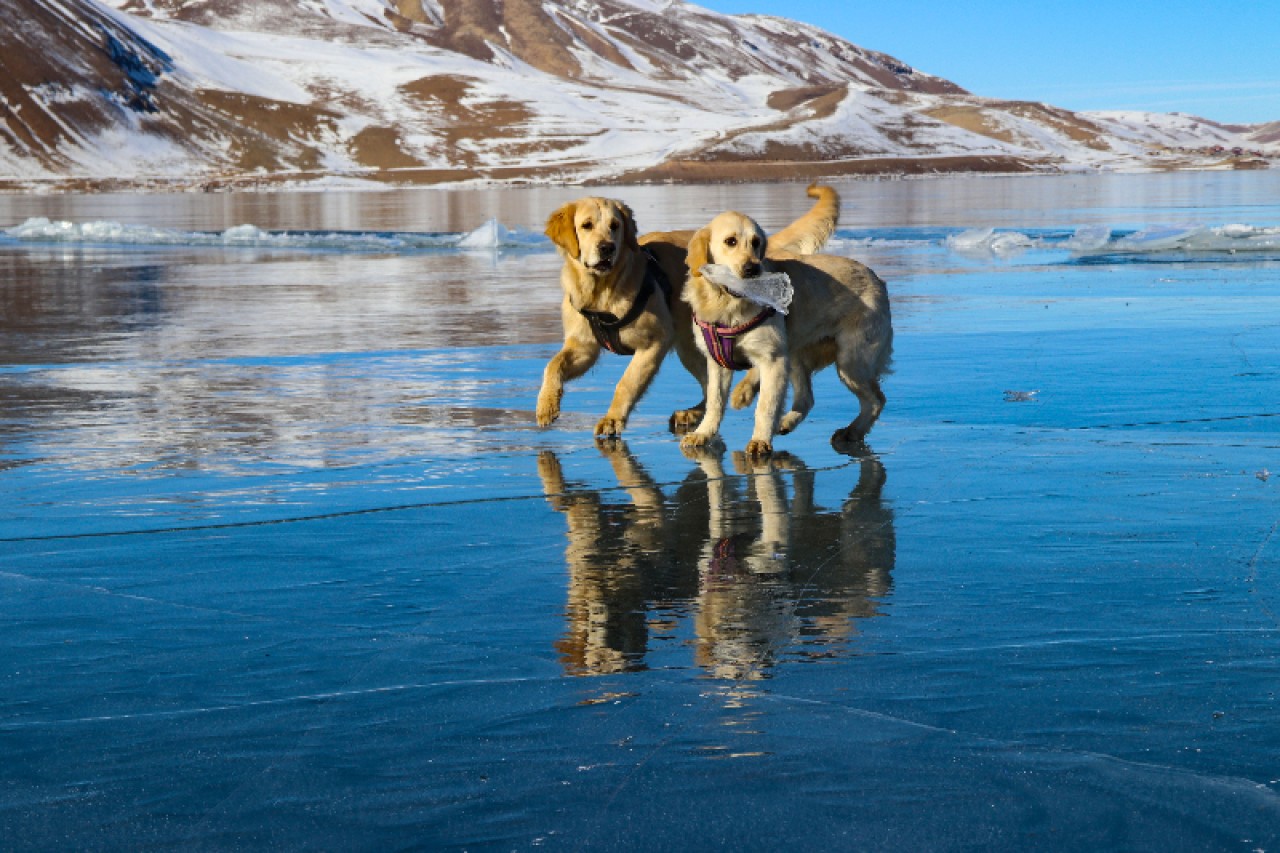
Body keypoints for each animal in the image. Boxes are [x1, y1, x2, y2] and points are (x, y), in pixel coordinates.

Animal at [532, 186, 839, 438]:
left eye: (614, 226)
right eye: (586, 225)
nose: (607, 248)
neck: (602, 291)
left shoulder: (654, 342)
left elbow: (626, 383)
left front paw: (612, 419)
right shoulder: (583, 347)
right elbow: (552, 365)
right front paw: (547, 405)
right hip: (692, 346)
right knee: (709, 386)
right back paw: (694, 413)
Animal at [680, 208, 890, 455]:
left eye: (756, 242)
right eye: (730, 241)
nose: (752, 269)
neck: (729, 305)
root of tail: (877, 278)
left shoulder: (773, 359)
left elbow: (766, 406)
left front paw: (760, 440)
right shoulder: (718, 362)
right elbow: (714, 402)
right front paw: (703, 433)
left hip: (850, 362)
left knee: (876, 400)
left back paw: (853, 431)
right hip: (798, 355)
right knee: (806, 398)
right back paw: (786, 421)